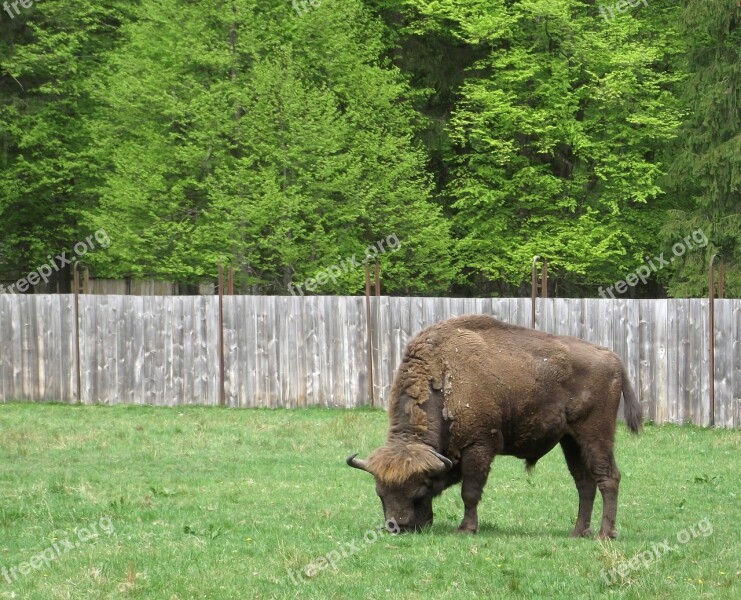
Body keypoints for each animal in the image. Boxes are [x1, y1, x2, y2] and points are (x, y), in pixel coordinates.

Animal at [346, 314, 640, 540]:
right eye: (380, 494)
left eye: (419, 491)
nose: (398, 527)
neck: (444, 372)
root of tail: (613, 358)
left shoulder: (479, 447)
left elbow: (470, 492)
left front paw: (466, 529)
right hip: (570, 441)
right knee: (584, 483)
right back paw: (578, 532)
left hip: (596, 434)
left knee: (608, 478)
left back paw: (604, 534)